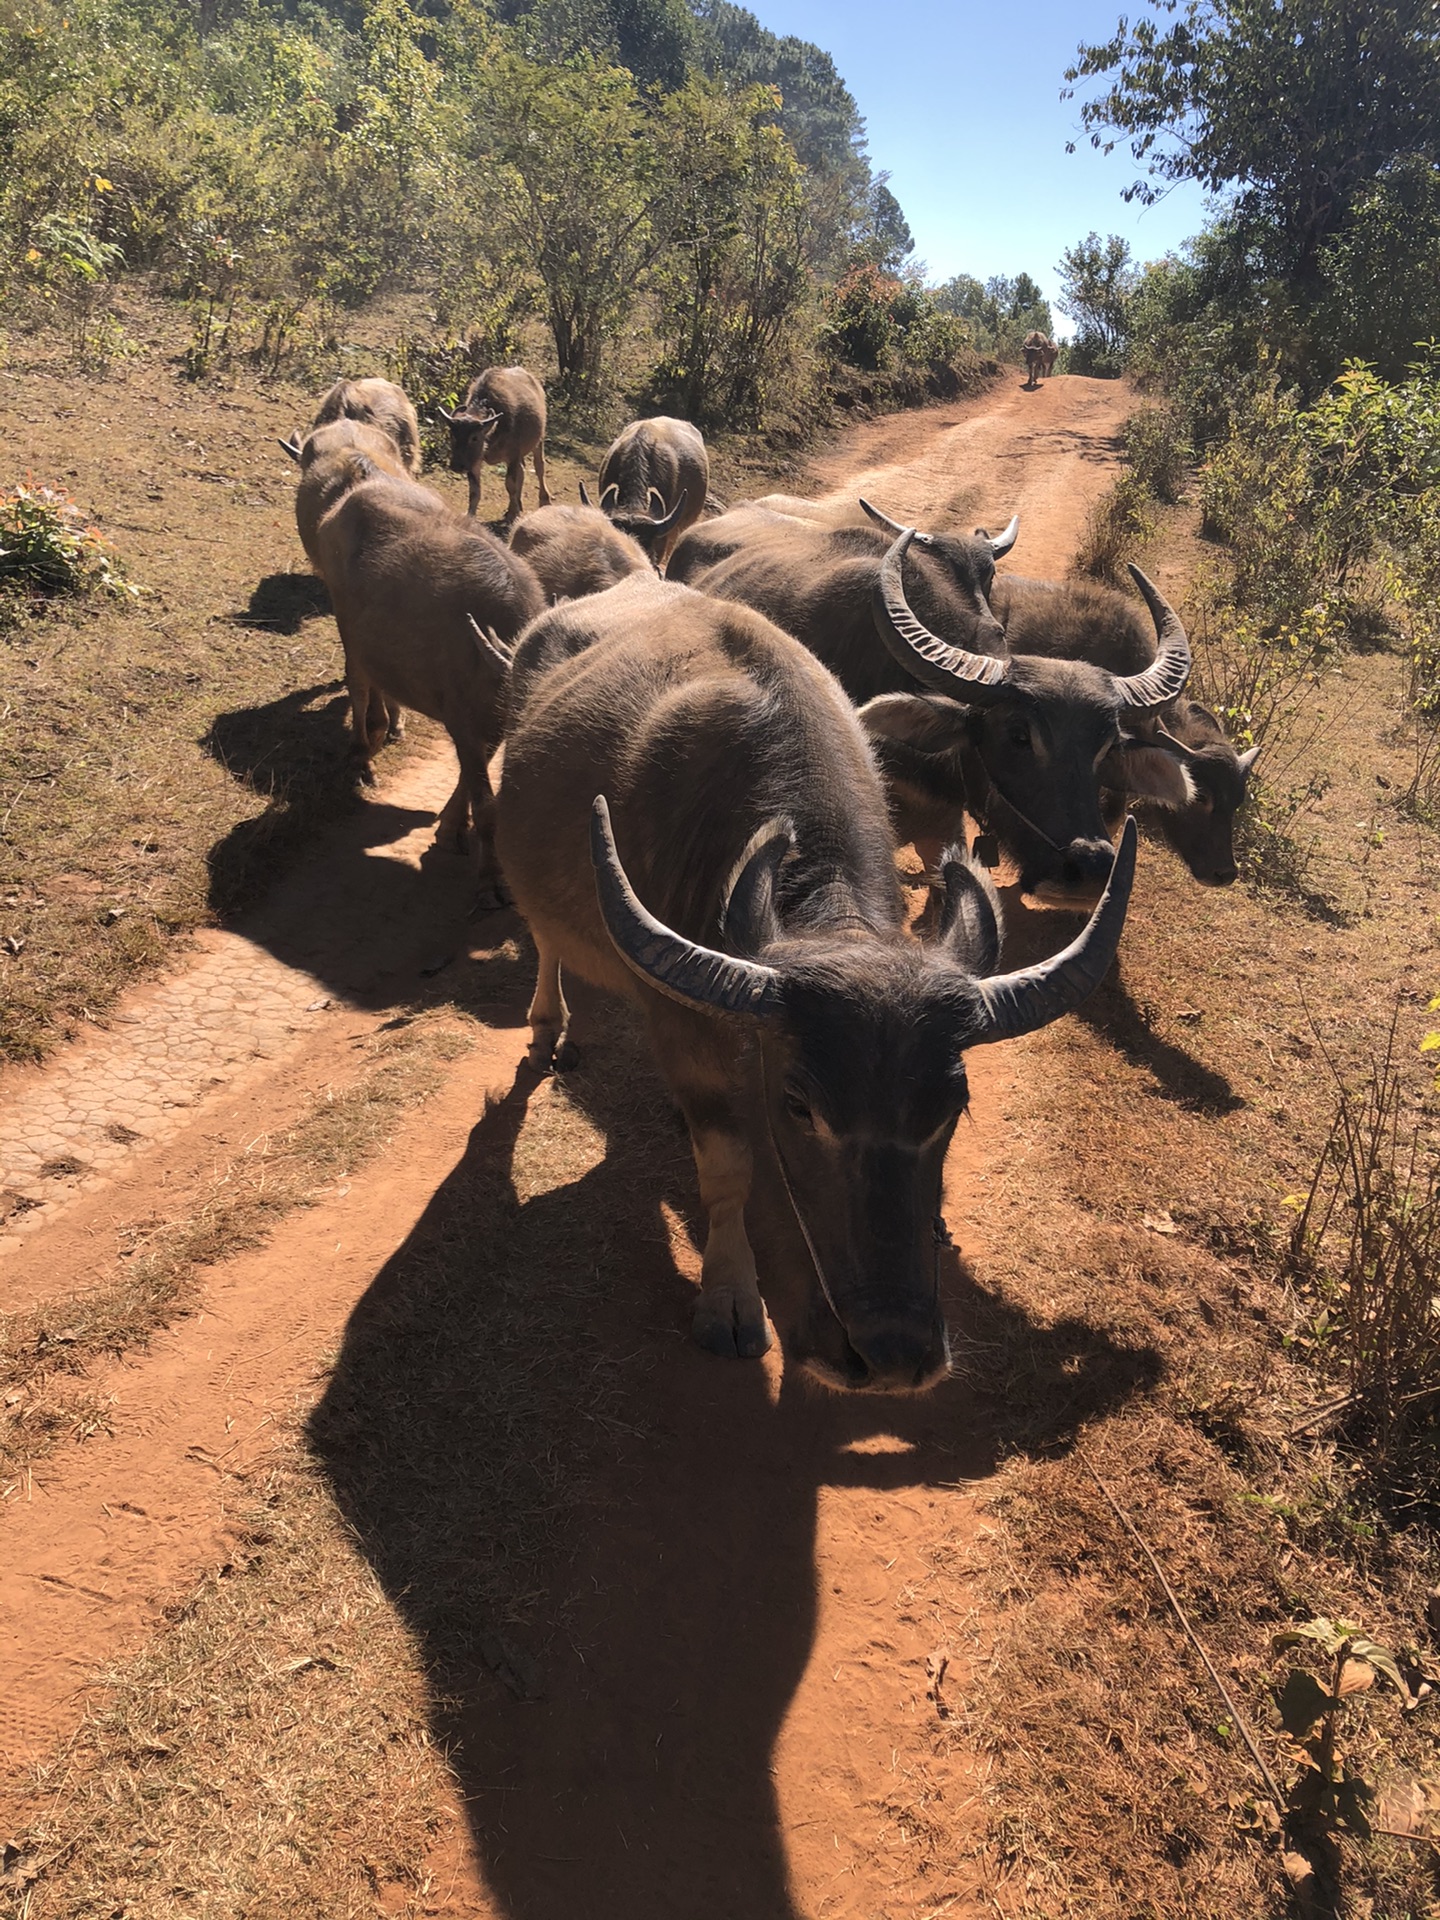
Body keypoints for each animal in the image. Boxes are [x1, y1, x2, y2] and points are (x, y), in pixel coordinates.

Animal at [312, 453, 545, 902]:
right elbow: (486, 804)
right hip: (345, 622)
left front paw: (451, 827)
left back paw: (384, 726)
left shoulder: (491, 726)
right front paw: (490, 879)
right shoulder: (463, 721)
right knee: (358, 684)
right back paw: (361, 755)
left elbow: (469, 781)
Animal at [439, 362, 552, 518]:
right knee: (522, 471)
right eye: (453, 435)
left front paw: (514, 513)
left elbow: (510, 484)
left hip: (538, 440)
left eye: (474, 438)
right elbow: (474, 491)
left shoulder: (513, 456)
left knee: (539, 467)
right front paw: (470, 515)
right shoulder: (475, 461)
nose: (457, 466)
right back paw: (517, 503)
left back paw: (544, 499)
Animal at [495, 568, 1136, 1397]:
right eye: (800, 1105)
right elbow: (728, 1169)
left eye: (951, 1108)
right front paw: (732, 1301)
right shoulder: (686, 1036)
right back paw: (549, 1029)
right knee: (545, 941)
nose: (891, 1353)